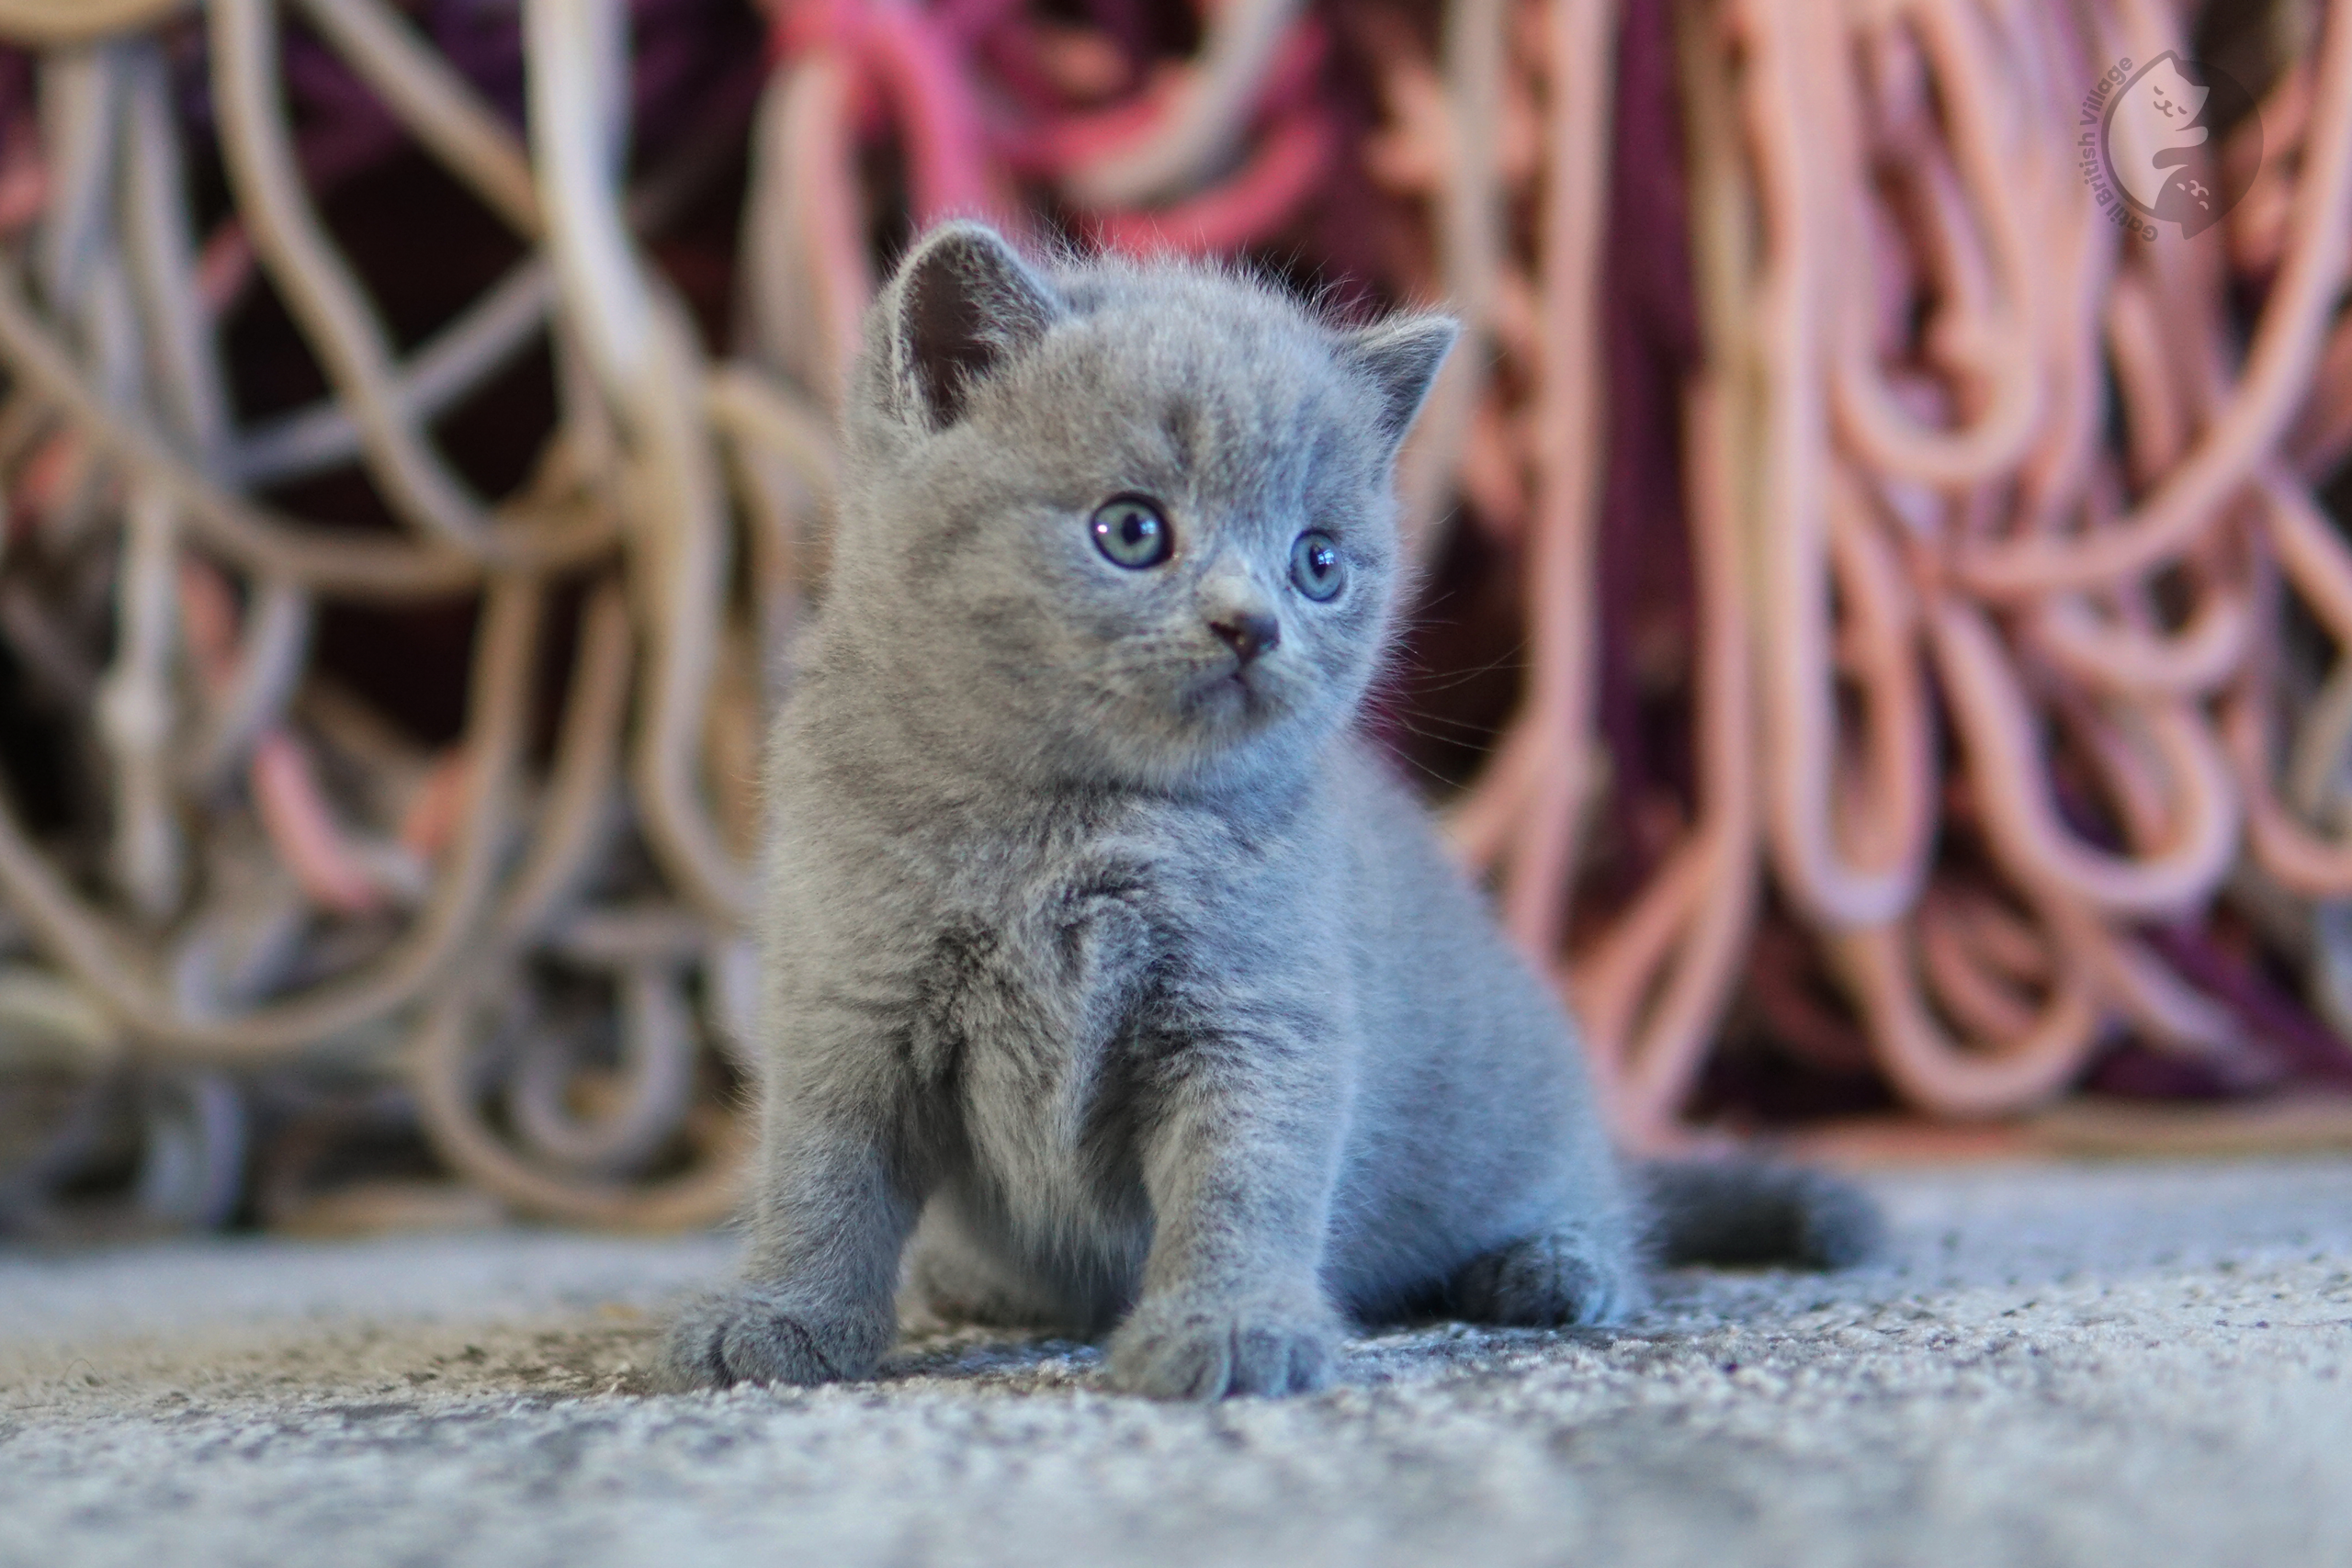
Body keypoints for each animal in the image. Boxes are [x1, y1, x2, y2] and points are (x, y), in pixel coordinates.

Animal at [662, 217, 1871, 1401]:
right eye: (1132, 531)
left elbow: (1243, 1178)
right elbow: (822, 1173)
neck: (1077, 826)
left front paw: (1229, 1329)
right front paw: (780, 1319)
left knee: (1602, 1200)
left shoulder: (1258, 1012)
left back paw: (1549, 1264)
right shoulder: (849, 996)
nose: (1252, 624)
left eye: (1317, 562)